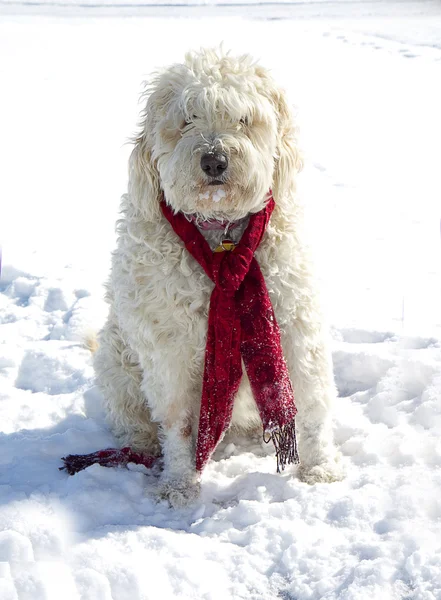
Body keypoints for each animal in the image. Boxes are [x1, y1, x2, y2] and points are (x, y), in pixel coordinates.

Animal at [94, 48, 344, 506]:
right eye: (187, 118)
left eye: (243, 118)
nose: (214, 160)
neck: (223, 237)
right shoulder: (168, 349)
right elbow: (177, 423)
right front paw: (178, 484)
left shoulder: (296, 325)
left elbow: (313, 404)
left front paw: (320, 470)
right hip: (117, 359)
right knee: (136, 422)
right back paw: (141, 448)